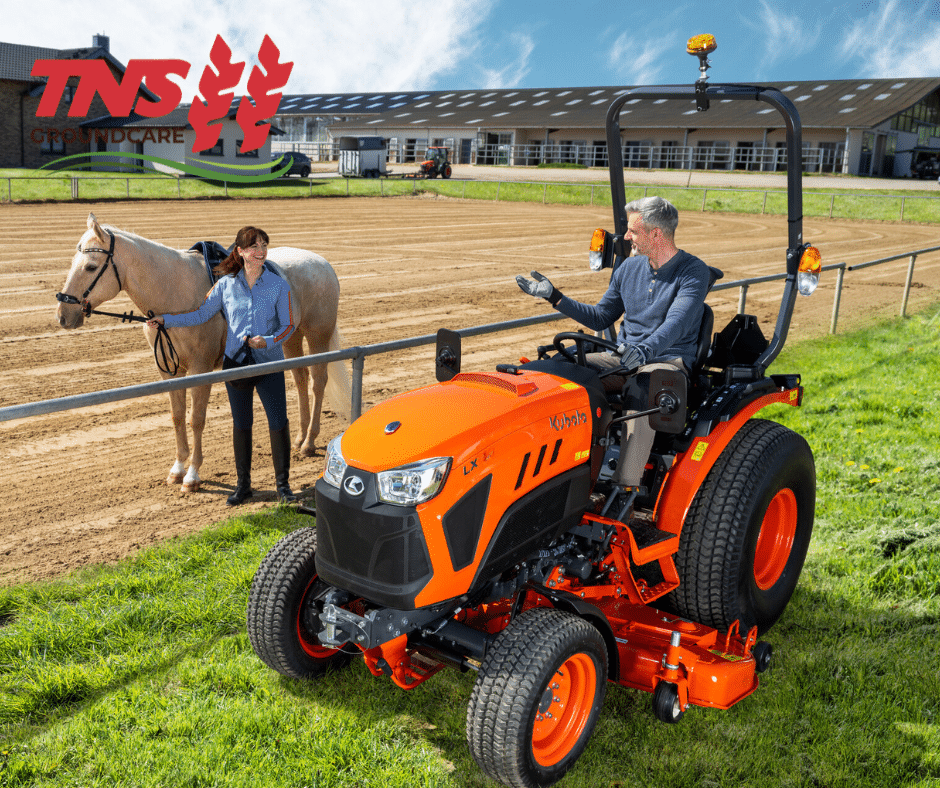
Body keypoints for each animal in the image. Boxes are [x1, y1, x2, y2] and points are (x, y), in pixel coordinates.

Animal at [57, 212, 352, 490]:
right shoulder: (169, 371)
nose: (63, 313)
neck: (174, 293)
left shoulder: (201, 369)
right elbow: (177, 417)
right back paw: (300, 438)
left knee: (318, 382)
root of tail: (323, 263)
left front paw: (192, 475)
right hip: (290, 340)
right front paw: (177, 468)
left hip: (318, 336)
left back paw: (309, 441)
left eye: (91, 266)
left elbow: (196, 419)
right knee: (301, 380)